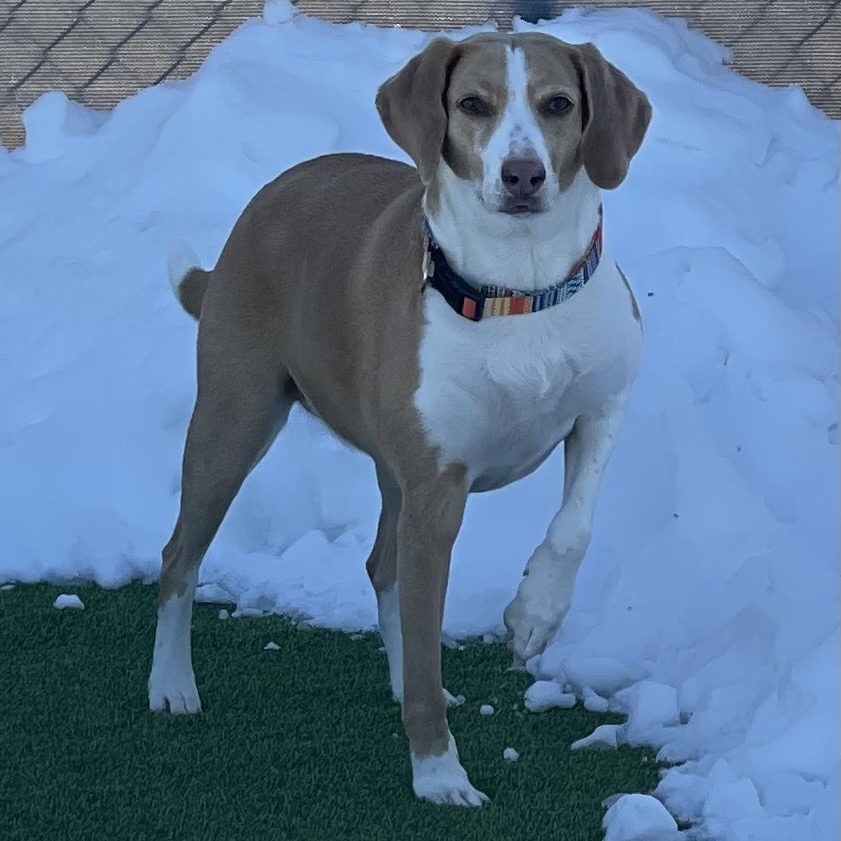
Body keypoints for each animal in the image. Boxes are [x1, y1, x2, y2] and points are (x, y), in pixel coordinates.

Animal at [149, 32, 648, 808]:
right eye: (472, 104)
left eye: (558, 104)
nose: (522, 174)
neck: (520, 286)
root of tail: (269, 196)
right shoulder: (437, 490)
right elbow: (422, 634)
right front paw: (439, 772)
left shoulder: (603, 406)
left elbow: (573, 529)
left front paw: (533, 614)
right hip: (234, 423)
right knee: (180, 555)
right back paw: (171, 685)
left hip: (387, 469)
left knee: (382, 567)